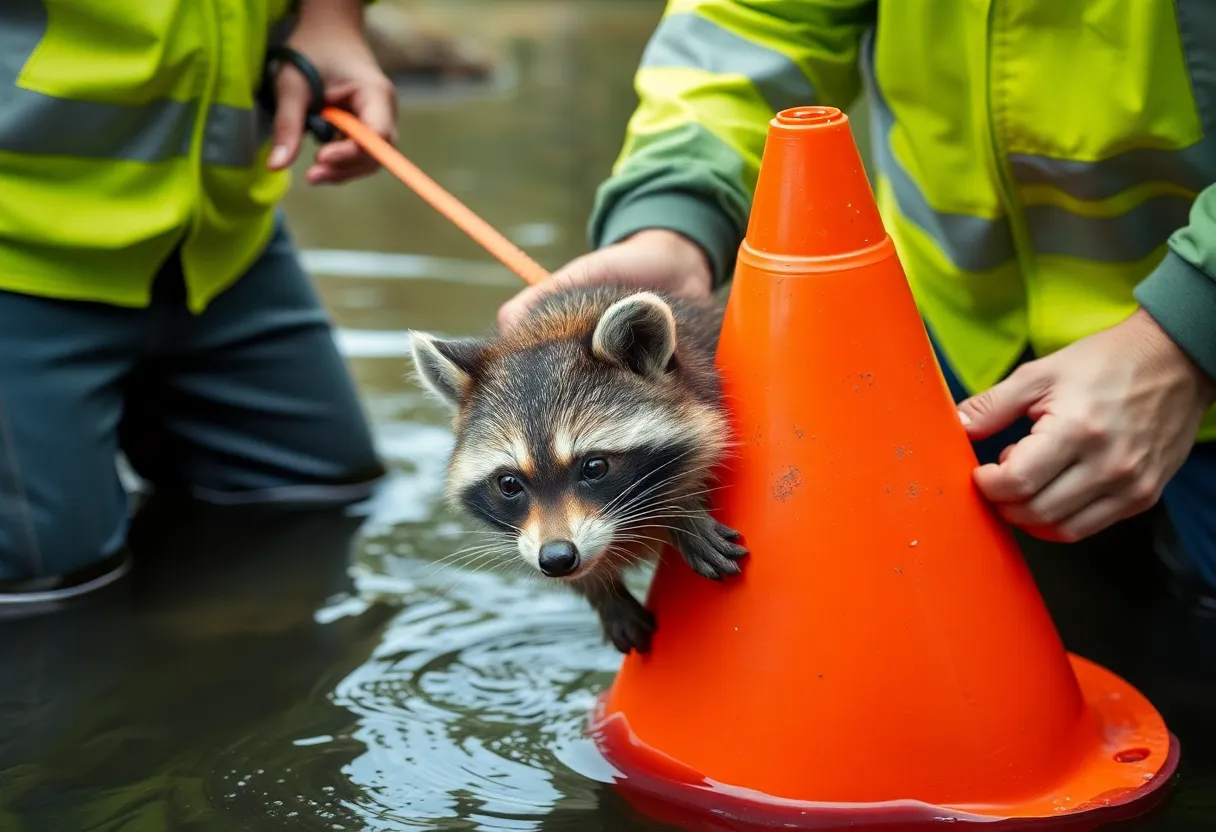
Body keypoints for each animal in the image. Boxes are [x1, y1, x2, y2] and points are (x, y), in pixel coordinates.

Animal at [408, 284, 747, 654]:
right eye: (509, 484)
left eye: (594, 467)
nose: (557, 558)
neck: (555, 325)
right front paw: (602, 594)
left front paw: (680, 508)